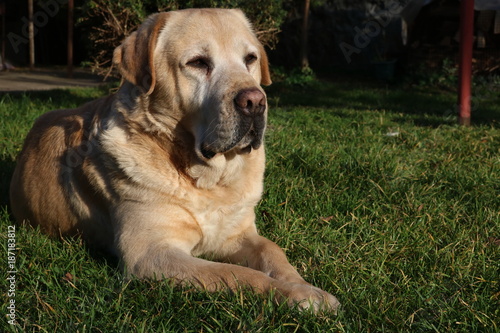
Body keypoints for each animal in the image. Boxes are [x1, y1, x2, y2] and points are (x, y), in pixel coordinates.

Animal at [10, 9, 340, 312]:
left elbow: (274, 252)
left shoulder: (239, 234)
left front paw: (302, 285)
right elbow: (238, 274)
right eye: (198, 63)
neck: (206, 179)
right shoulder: (151, 253)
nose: (255, 102)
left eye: (250, 58)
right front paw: (295, 294)